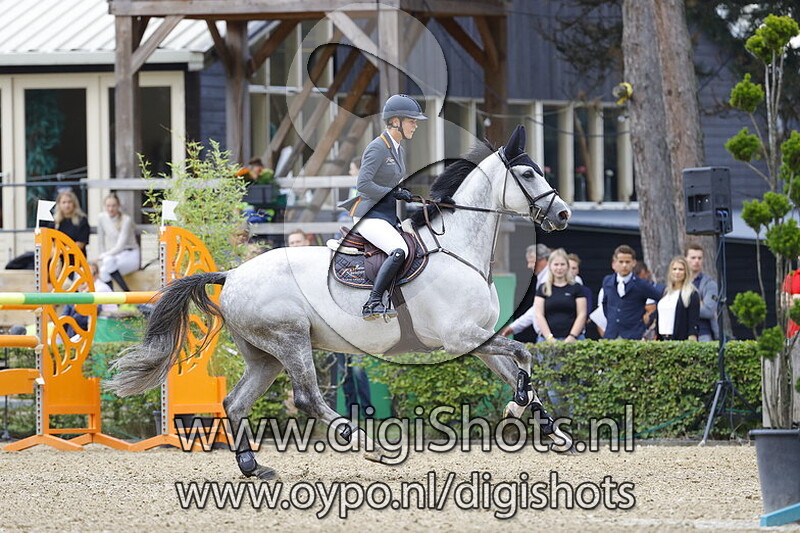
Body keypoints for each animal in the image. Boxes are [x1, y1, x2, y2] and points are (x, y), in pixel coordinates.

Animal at [108, 125, 572, 479]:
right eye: (528, 174)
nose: (563, 215)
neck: (458, 249)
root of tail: (233, 273)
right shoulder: (460, 338)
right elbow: (525, 354)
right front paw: (519, 404)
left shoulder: (476, 338)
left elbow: (519, 367)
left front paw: (546, 425)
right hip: (291, 339)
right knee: (308, 399)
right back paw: (370, 445)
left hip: (264, 355)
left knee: (236, 403)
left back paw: (253, 467)